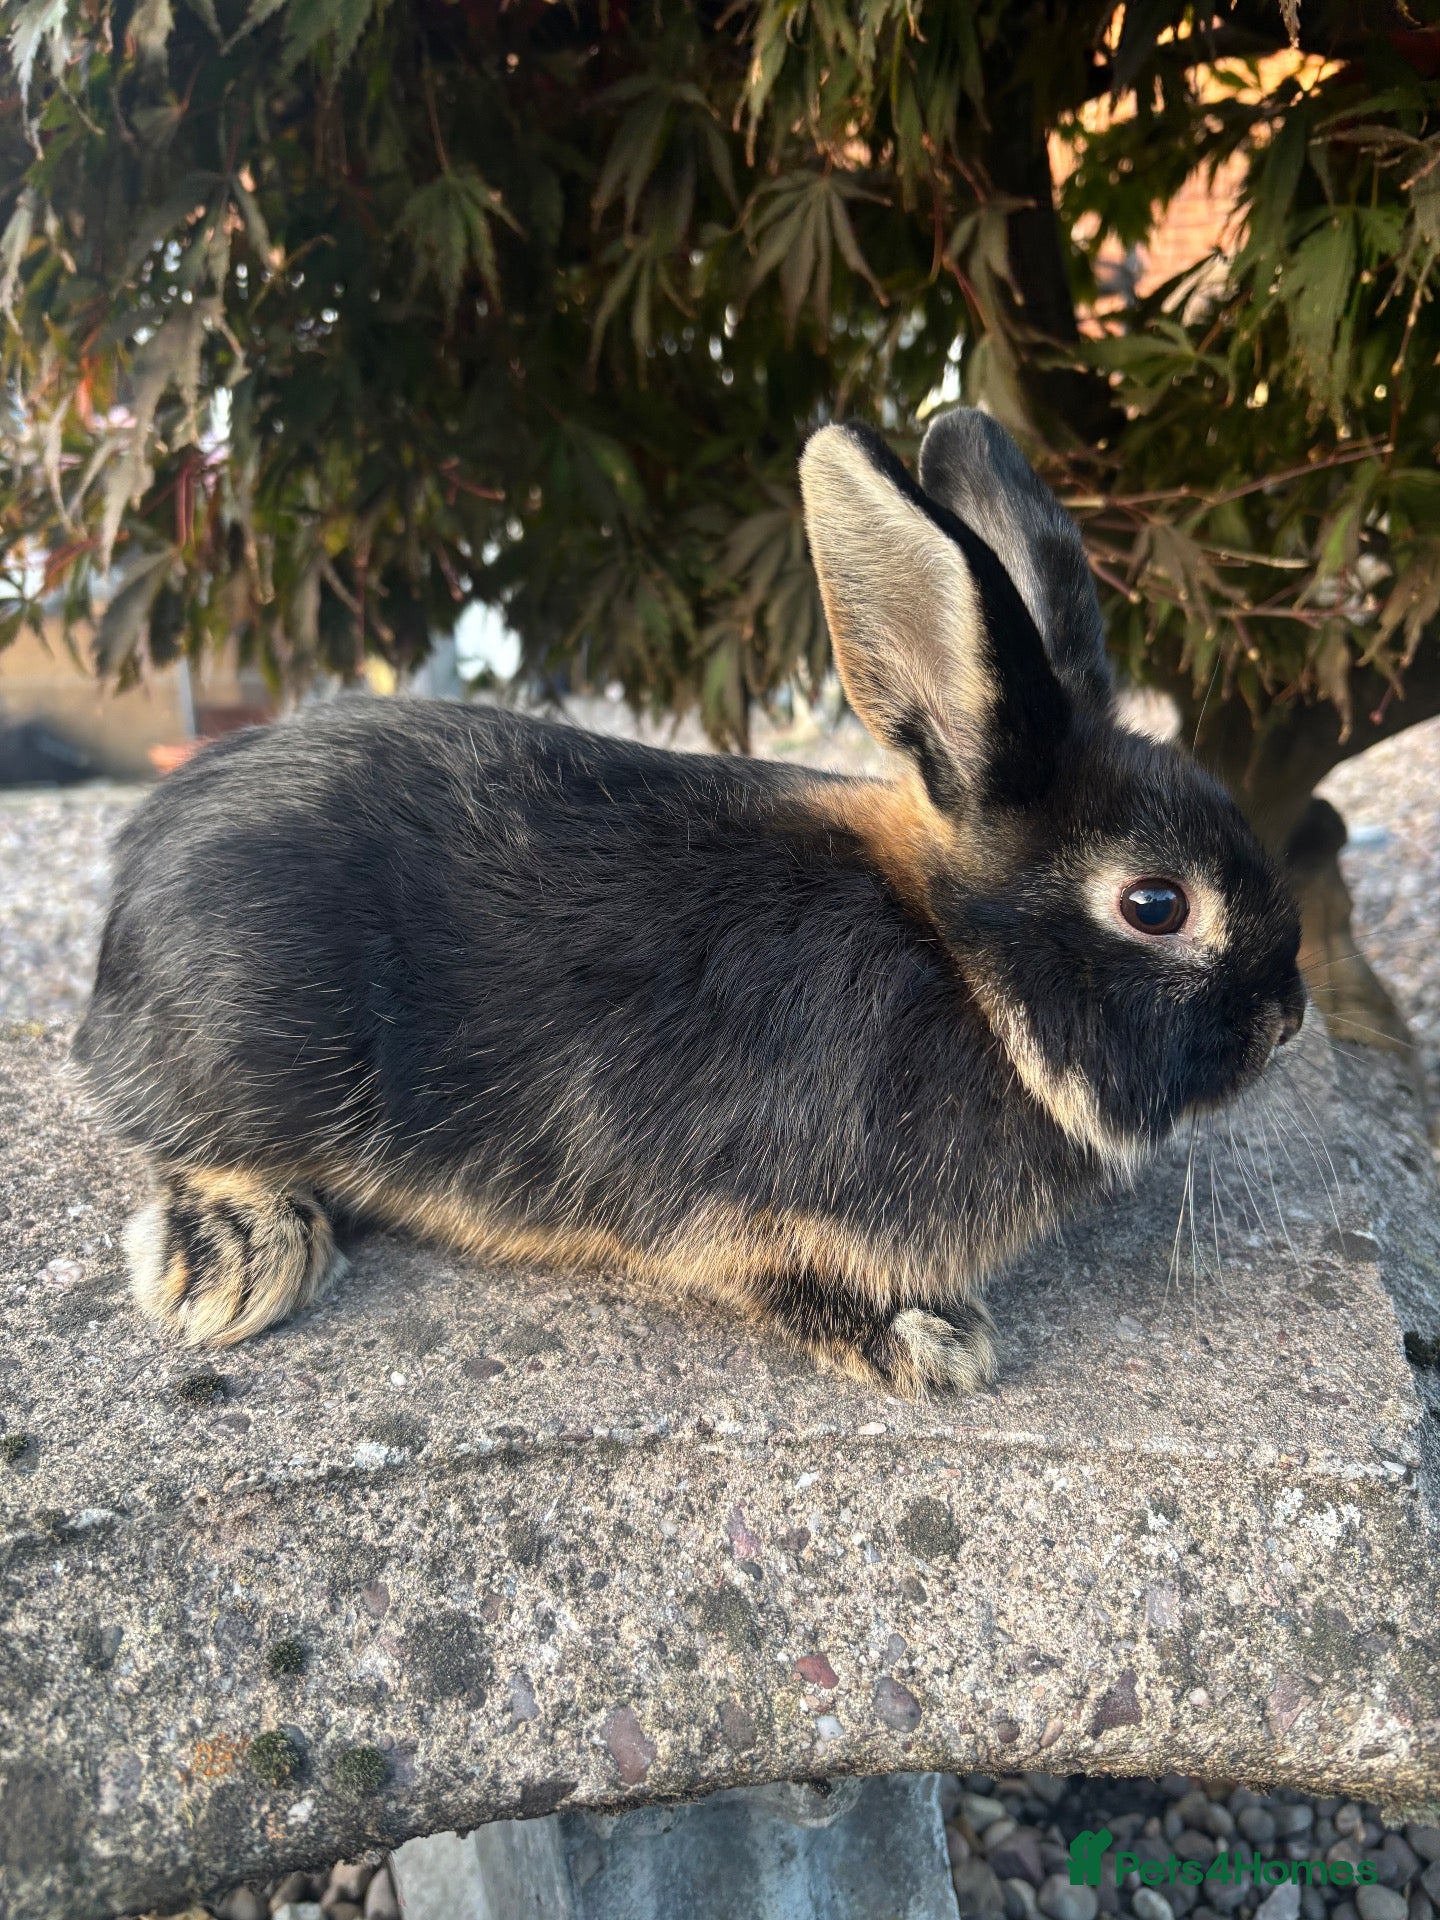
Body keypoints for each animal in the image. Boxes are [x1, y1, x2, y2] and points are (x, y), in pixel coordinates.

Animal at [73, 409, 1305, 1397]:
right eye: (1156, 904)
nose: (1287, 1019)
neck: (959, 963)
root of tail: (128, 902)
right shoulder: (760, 1215)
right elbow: (793, 1277)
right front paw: (933, 1345)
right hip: (256, 1043)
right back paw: (237, 1258)